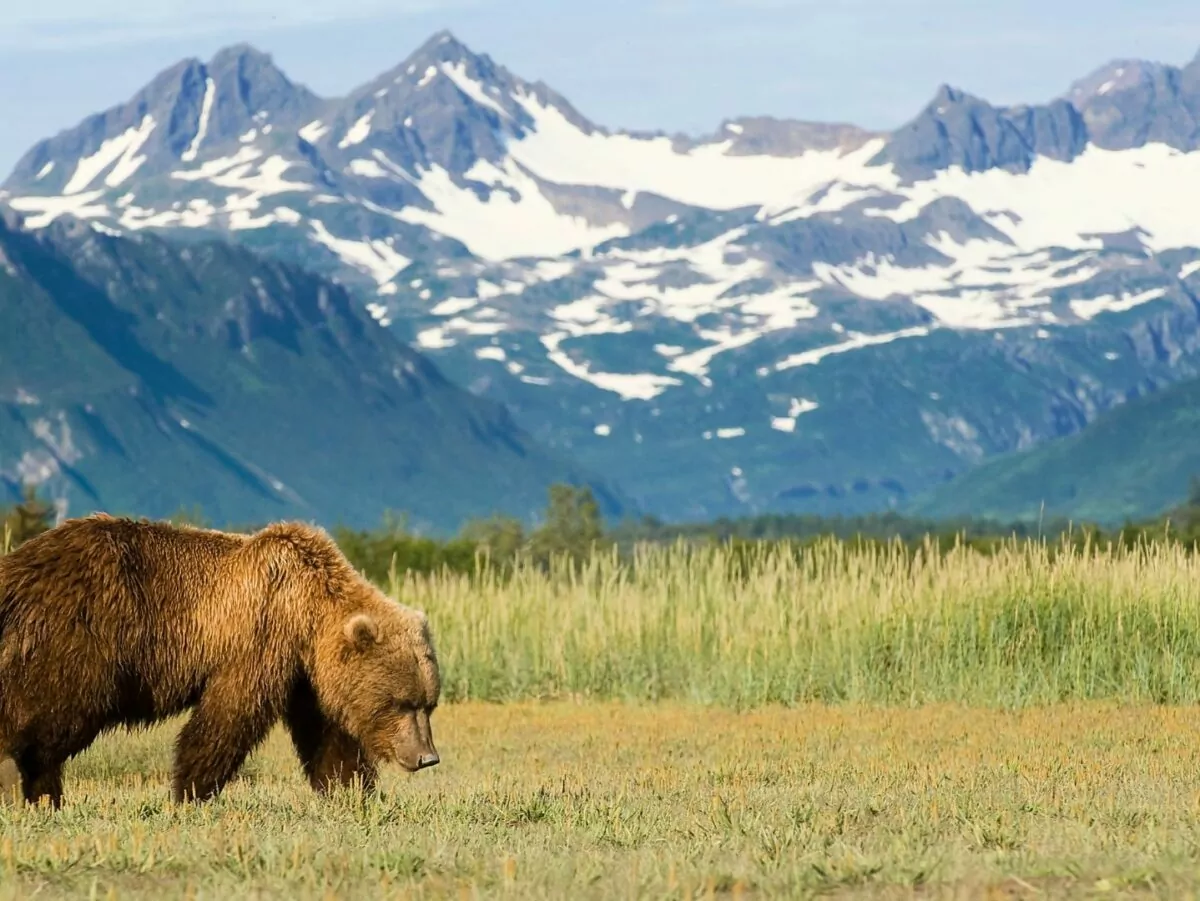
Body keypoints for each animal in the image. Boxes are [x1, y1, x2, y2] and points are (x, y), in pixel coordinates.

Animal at [0, 513, 441, 808]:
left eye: (429, 704)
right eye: (401, 703)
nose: (427, 757)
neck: (308, 611)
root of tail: (19, 566)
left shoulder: (308, 676)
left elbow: (328, 736)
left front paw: (351, 791)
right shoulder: (260, 635)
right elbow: (228, 716)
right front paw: (189, 791)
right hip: (85, 638)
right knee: (51, 709)